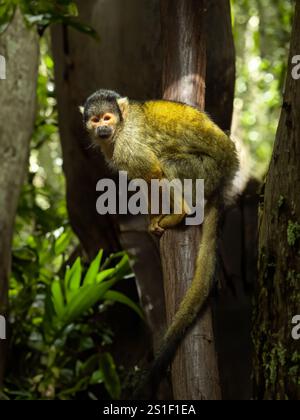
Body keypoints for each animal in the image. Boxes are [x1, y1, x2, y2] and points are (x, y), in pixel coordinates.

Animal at [81, 88, 239, 398]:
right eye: (95, 120)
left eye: (107, 118)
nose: (103, 129)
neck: (120, 128)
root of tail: (226, 176)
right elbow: (142, 181)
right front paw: (152, 216)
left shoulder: (127, 144)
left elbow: (153, 171)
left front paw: (163, 214)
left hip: (204, 171)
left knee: (167, 163)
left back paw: (180, 212)